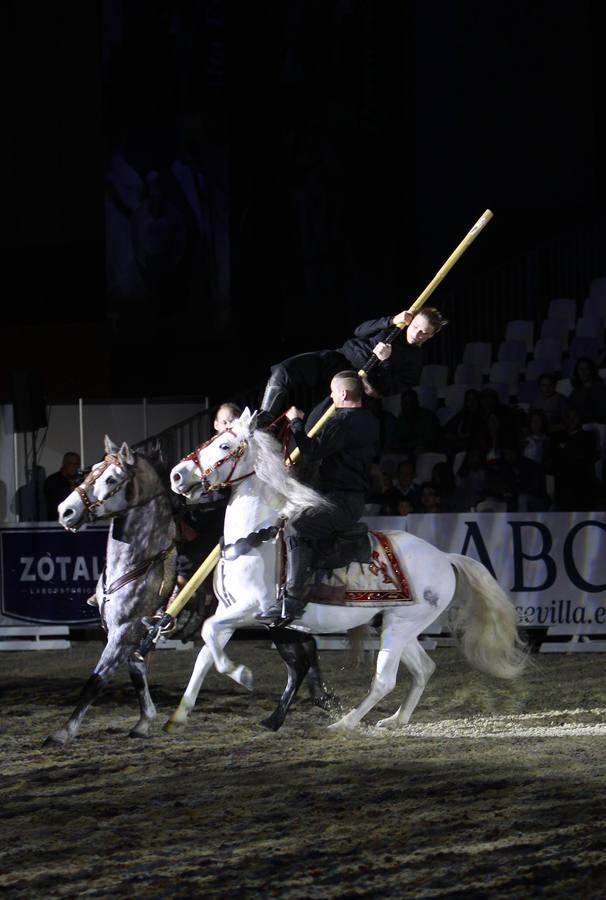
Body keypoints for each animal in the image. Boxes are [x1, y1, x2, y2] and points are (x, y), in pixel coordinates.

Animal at [169, 410, 528, 732]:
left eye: (225, 446)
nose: (176, 475)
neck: (255, 536)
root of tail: (444, 556)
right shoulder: (228, 611)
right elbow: (205, 652)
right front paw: (178, 717)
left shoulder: (252, 608)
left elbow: (208, 634)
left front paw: (241, 674)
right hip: (397, 624)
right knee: (424, 668)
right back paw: (396, 719)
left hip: (401, 626)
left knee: (385, 680)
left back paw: (344, 723)